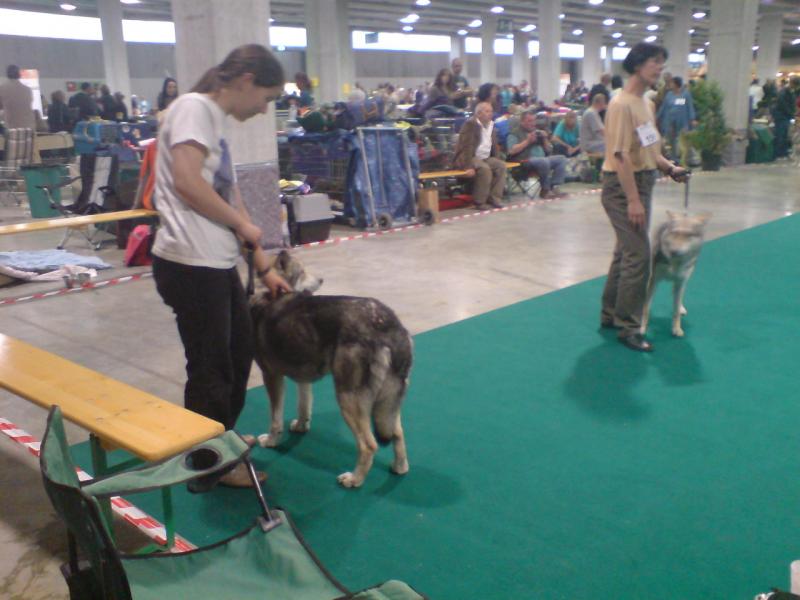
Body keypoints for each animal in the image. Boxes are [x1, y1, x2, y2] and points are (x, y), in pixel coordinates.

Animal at [250, 250, 412, 488]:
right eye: (303, 271)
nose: (321, 279)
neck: (268, 293)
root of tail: (387, 323)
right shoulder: (303, 377)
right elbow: (304, 406)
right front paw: (301, 426)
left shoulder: (271, 376)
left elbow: (275, 419)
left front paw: (271, 441)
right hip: (388, 401)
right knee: (397, 433)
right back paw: (399, 468)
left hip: (347, 399)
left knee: (369, 445)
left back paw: (354, 479)